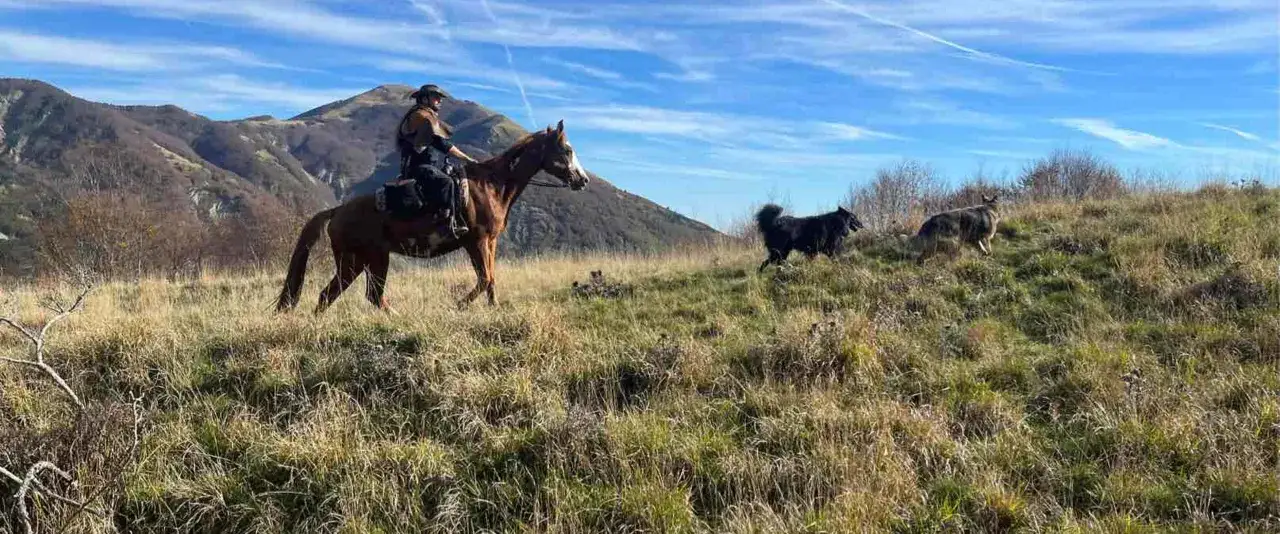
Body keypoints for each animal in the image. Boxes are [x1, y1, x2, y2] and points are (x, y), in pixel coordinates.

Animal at [274, 120, 590, 313]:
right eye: (567, 149)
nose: (583, 180)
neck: (491, 185)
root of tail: (337, 211)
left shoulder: (490, 242)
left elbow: (491, 280)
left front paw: (494, 308)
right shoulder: (475, 241)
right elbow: (484, 279)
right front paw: (458, 306)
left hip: (362, 261)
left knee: (339, 295)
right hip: (364, 259)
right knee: (355, 295)